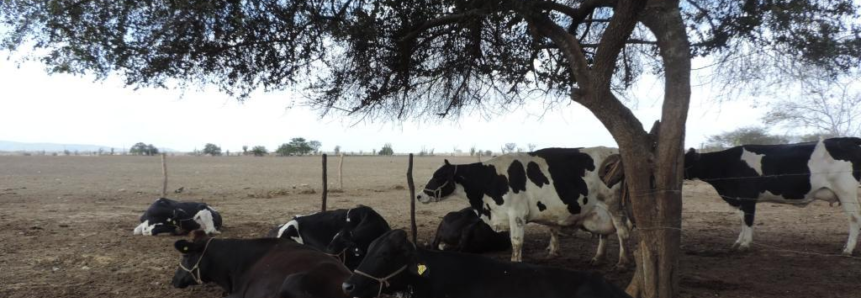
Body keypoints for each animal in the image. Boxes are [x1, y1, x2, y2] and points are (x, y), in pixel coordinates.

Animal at [416, 148, 632, 266]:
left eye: (439, 177)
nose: (419, 195)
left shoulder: (517, 214)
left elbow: (517, 242)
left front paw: (515, 262)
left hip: (614, 206)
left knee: (622, 232)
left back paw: (622, 262)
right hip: (600, 211)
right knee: (605, 234)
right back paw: (598, 258)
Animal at [684, 137, 860, 254]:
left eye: (684, 160)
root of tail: (846, 140)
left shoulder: (748, 198)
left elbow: (748, 220)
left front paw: (745, 244)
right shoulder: (739, 200)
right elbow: (742, 220)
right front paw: (738, 242)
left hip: (846, 191)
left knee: (854, 218)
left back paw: (848, 249)